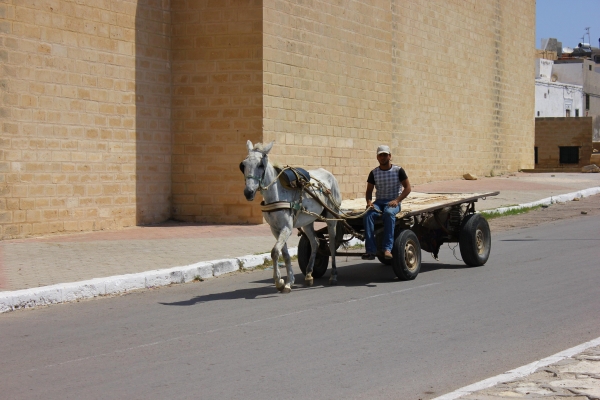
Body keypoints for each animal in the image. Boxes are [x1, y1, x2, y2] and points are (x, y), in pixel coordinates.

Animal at [240, 142, 342, 292]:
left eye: (260, 165)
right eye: (243, 165)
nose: (248, 192)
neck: (277, 195)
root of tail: (330, 175)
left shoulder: (286, 228)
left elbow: (275, 251)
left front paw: (279, 281)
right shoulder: (275, 229)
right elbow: (285, 255)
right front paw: (288, 282)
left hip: (331, 218)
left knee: (333, 245)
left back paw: (333, 275)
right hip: (308, 221)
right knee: (315, 242)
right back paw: (309, 274)